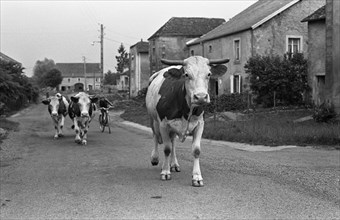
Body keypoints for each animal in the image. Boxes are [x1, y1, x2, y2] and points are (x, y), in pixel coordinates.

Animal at [145, 55, 228, 186]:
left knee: (173, 142)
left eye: (209, 74)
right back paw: (155, 158)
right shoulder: (163, 124)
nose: (200, 97)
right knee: (155, 136)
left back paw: (174, 164)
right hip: (153, 119)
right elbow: (166, 149)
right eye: (187, 74)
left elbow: (196, 150)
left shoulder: (200, 125)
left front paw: (197, 177)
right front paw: (165, 172)